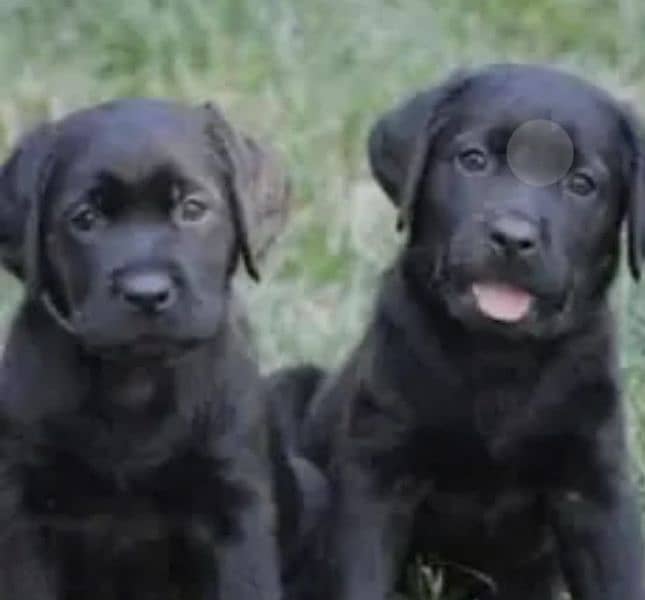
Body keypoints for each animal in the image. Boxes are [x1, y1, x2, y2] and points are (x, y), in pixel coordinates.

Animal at [302, 63, 644, 596]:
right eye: (473, 160)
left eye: (583, 184)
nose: (513, 238)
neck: (497, 355)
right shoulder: (377, 473)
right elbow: (360, 576)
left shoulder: (593, 487)